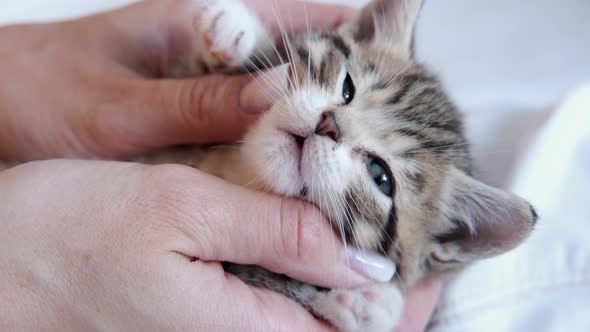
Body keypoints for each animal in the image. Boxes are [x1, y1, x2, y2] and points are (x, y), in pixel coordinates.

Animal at [146, 0, 540, 332]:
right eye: (347, 87)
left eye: (381, 176)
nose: (329, 124)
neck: (240, 171)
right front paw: (237, 33)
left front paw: (363, 298)